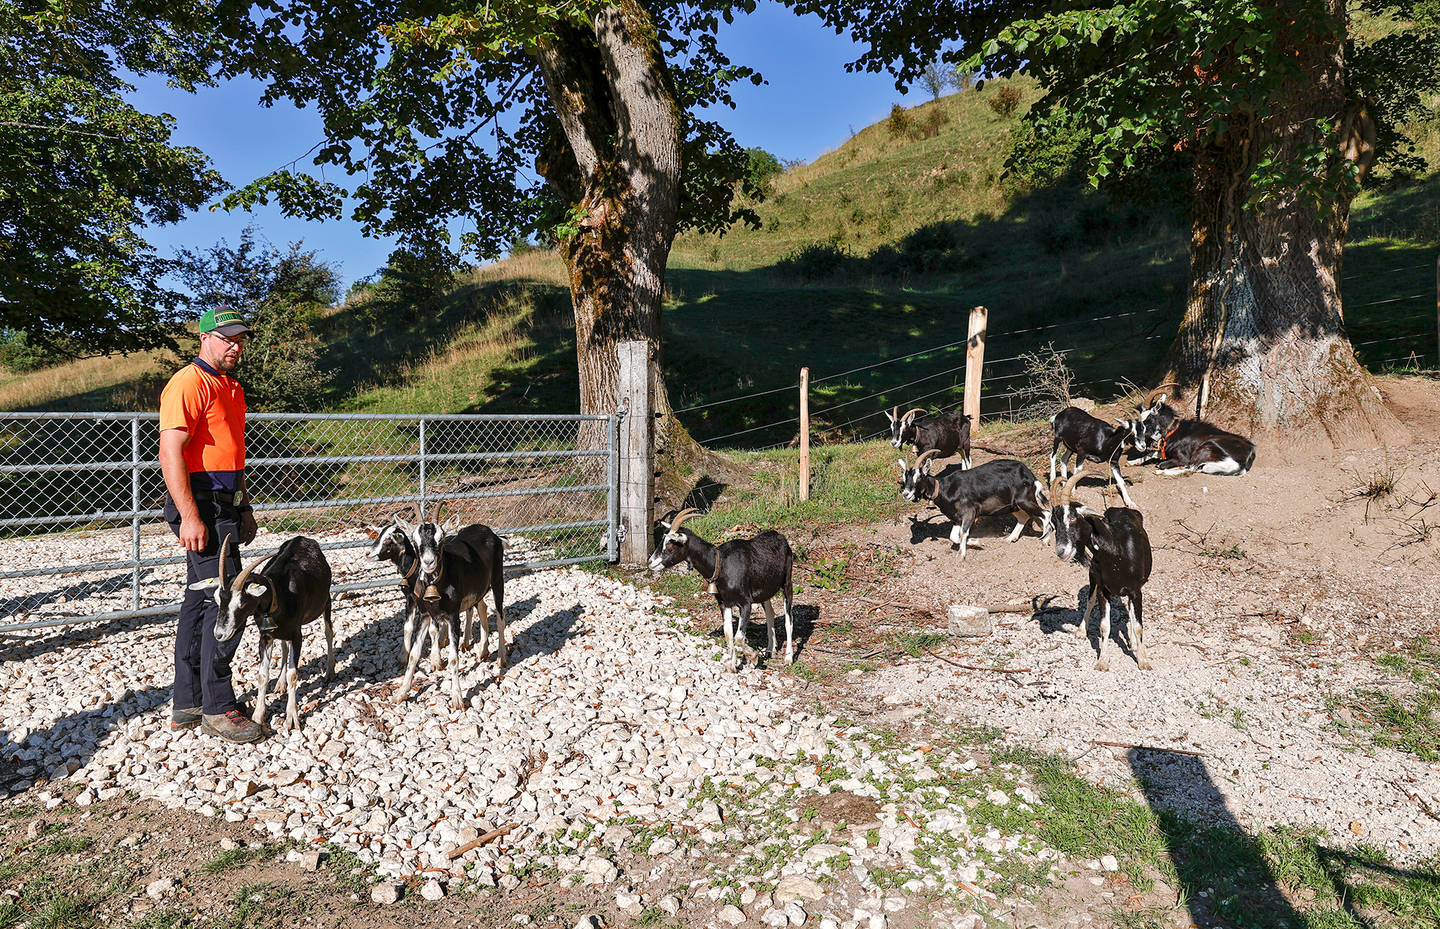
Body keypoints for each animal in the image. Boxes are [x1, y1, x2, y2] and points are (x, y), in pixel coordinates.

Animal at [191, 535, 334, 731]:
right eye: (217, 599)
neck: (279, 593)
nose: (219, 634)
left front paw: (292, 717)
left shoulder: (297, 635)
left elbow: (293, 675)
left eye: (242, 602)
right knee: (284, 645)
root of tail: (303, 538)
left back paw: (329, 672)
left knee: (328, 632)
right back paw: (280, 683)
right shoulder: (265, 637)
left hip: (326, 601)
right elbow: (262, 675)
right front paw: (258, 716)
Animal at [653, 506, 800, 665]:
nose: (650, 562)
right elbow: (728, 633)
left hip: (787, 583)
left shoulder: (746, 603)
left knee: (789, 620)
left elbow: (739, 637)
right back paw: (770, 649)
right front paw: (732, 664)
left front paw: (753, 656)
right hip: (765, 590)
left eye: (670, 545)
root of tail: (781, 537)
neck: (721, 563)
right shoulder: (725, 603)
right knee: (770, 614)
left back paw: (788, 657)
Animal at [898, 449, 1048, 558]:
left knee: (1045, 514)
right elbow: (954, 537)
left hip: (1024, 500)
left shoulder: (969, 512)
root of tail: (1030, 475)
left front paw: (962, 554)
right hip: (1014, 505)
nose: (906, 494)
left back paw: (1045, 541)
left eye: (919, 477)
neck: (944, 489)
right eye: (905, 477)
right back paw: (1011, 538)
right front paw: (977, 542)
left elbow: (962, 534)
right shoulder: (956, 517)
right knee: (1024, 516)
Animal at [1042, 472, 1152, 665]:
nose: (1061, 551)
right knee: (1089, 600)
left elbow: (1138, 625)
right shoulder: (1103, 590)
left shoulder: (1136, 590)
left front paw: (1143, 661)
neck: (1116, 551)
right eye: (1054, 523)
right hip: (1093, 577)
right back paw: (1081, 631)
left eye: (1072, 517)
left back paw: (1133, 643)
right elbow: (1104, 625)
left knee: (1130, 612)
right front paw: (1102, 662)